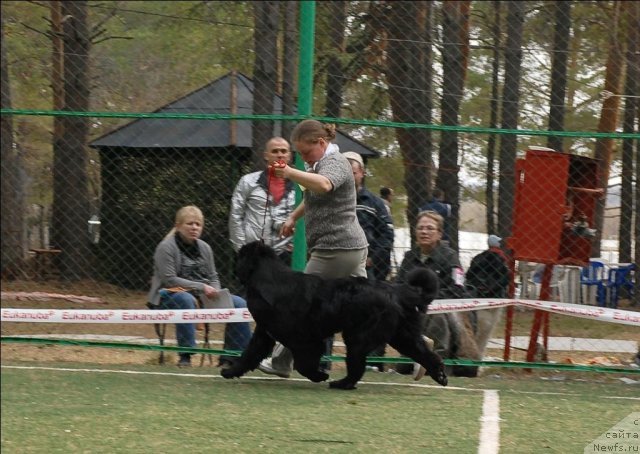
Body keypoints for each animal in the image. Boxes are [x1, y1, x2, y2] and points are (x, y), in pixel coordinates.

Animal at [222, 241, 448, 390]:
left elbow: (303, 364)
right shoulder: (264, 333)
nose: (233, 267)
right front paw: (230, 371)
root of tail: (399, 290)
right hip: (401, 335)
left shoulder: (303, 339)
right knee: (426, 353)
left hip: (360, 338)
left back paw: (341, 383)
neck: (269, 281)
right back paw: (440, 376)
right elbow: (249, 355)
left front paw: (319, 375)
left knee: (357, 365)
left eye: (240, 256)